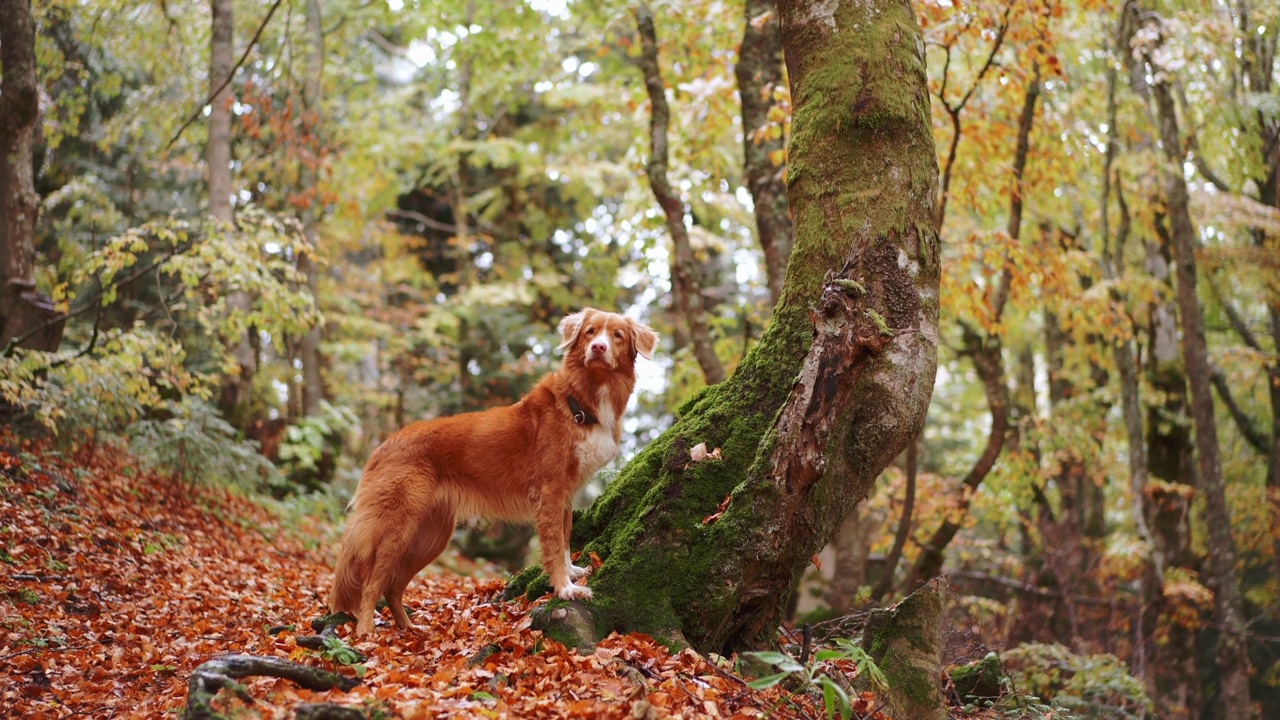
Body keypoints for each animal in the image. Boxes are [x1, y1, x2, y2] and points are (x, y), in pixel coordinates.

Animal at [330, 304, 660, 630]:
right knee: (372, 584)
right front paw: (565, 588)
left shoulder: (566, 494)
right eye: (590, 332)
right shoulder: (550, 492)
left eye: (617, 335)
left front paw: (571, 572)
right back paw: (367, 633)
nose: (598, 347)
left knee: (393, 586)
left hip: (430, 536)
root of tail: (382, 446)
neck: (579, 401)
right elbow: (554, 545)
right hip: (397, 528)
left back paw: (409, 629)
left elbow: (566, 537)